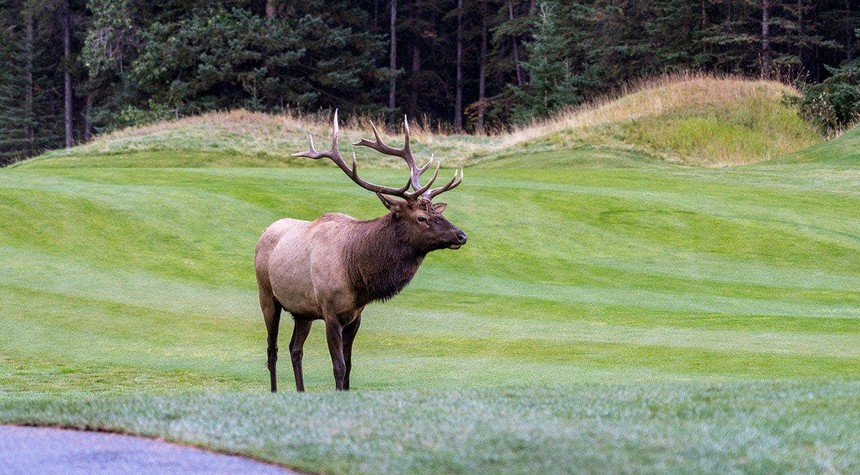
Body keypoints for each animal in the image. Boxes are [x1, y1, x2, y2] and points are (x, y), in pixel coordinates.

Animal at [255, 111, 467, 392]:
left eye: (437, 212)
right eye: (421, 218)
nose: (461, 235)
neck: (357, 274)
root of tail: (264, 232)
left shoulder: (355, 316)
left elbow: (349, 367)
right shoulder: (330, 311)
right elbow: (339, 366)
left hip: (302, 310)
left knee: (295, 349)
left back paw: (301, 391)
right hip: (267, 295)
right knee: (272, 348)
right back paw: (275, 391)